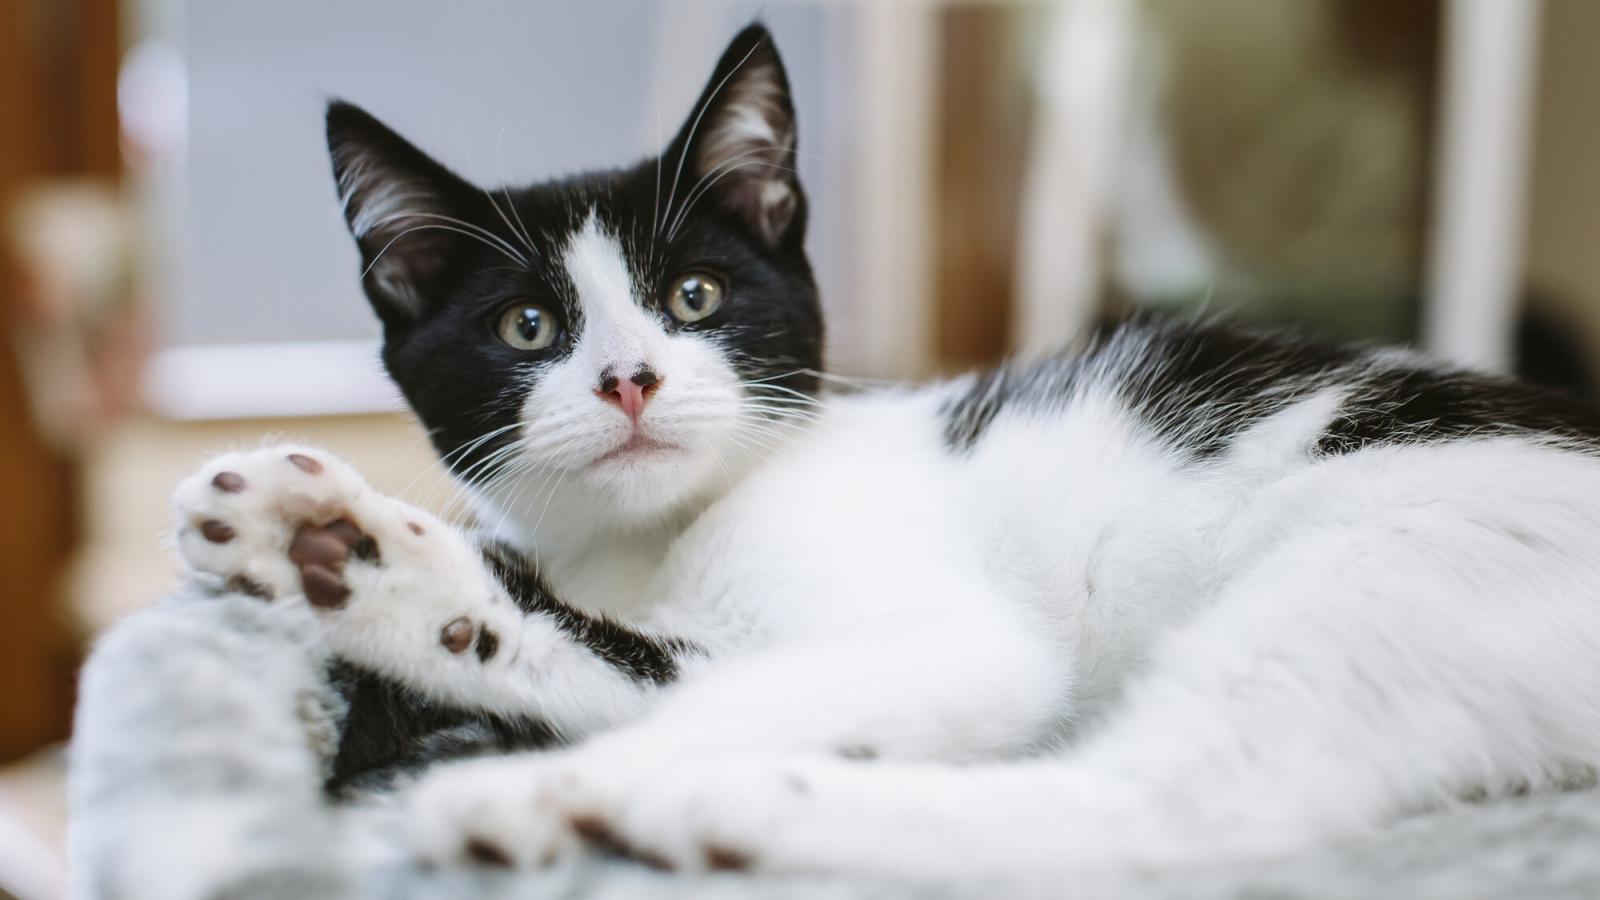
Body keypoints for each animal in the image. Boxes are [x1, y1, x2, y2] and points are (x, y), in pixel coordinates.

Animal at [168, 22, 1600, 877]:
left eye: (694, 296)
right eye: (527, 327)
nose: (629, 377)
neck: (644, 542)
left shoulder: (951, 636)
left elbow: (725, 684)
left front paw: (367, 577)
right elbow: (628, 660)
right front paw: (329, 560)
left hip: (1400, 556)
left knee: (1181, 802)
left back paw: (715, 808)